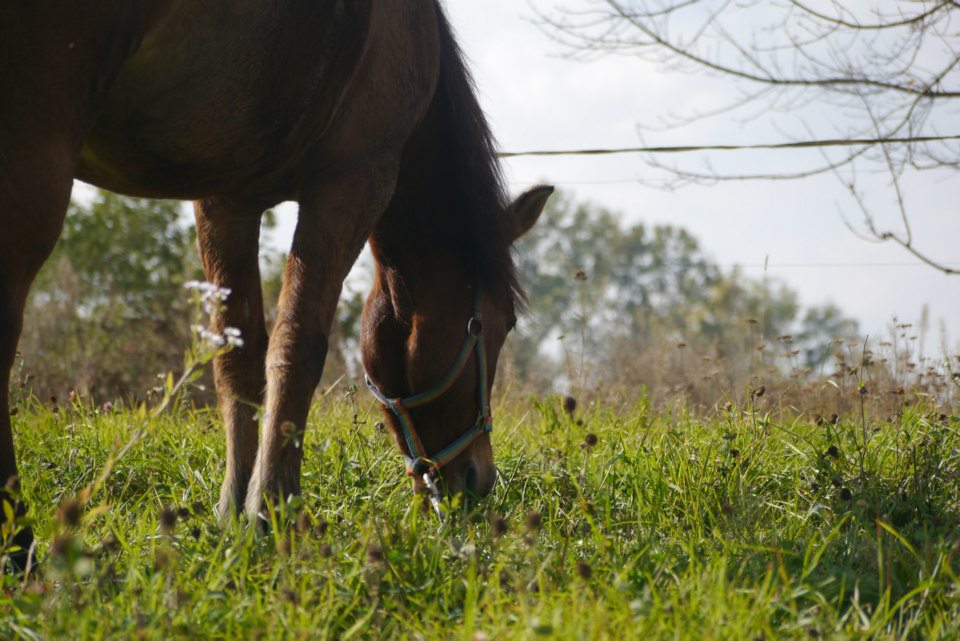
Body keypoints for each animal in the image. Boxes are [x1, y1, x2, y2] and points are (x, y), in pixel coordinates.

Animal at [0, 0, 552, 564]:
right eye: (502, 325)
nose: (479, 479)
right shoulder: (353, 180)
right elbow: (297, 347)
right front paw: (272, 509)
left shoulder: (225, 200)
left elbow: (237, 357)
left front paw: (232, 510)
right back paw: (18, 547)